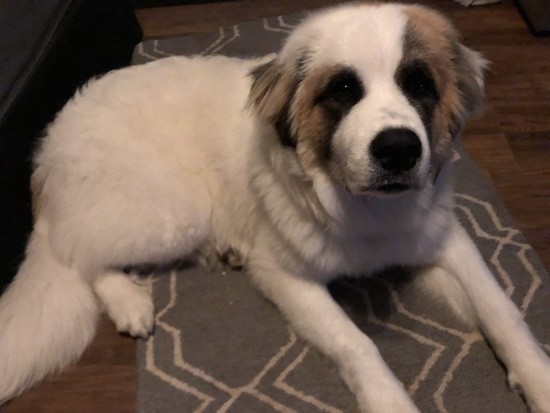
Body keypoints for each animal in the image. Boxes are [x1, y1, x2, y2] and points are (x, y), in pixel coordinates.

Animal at [1, 4, 550, 412]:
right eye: (343, 90)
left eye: (418, 85)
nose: (398, 149)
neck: (361, 206)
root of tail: (48, 146)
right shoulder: (287, 275)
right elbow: (357, 342)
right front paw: (389, 401)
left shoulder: (443, 239)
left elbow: (501, 309)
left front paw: (538, 379)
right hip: (168, 215)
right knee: (79, 254)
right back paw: (130, 303)